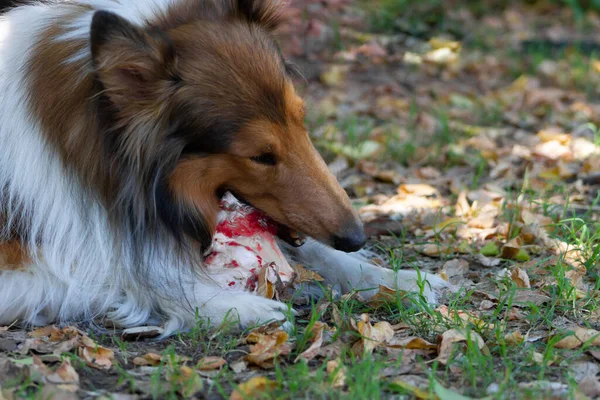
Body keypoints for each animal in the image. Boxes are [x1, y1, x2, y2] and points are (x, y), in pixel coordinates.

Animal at [0, 0, 446, 334]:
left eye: (301, 121)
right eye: (261, 156)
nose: (355, 236)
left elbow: (319, 252)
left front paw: (396, 279)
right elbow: (118, 269)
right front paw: (238, 307)